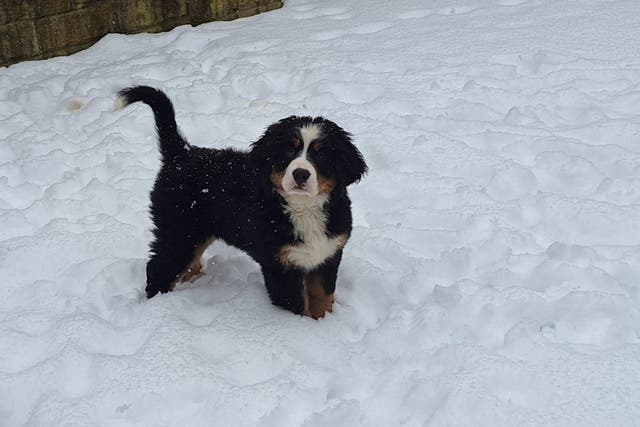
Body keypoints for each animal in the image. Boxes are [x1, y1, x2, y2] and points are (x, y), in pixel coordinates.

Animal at [114, 86, 364, 318]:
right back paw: (158, 305)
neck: (303, 209)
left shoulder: (327, 255)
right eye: (288, 150)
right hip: (179, 229)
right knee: (159, 266)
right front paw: (299, 328)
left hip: (197, 233)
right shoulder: (279, 265)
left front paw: (323, 323)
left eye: (321, 154)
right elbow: (295, 305)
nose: (300, 174)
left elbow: (322, 296)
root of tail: (181, 153)